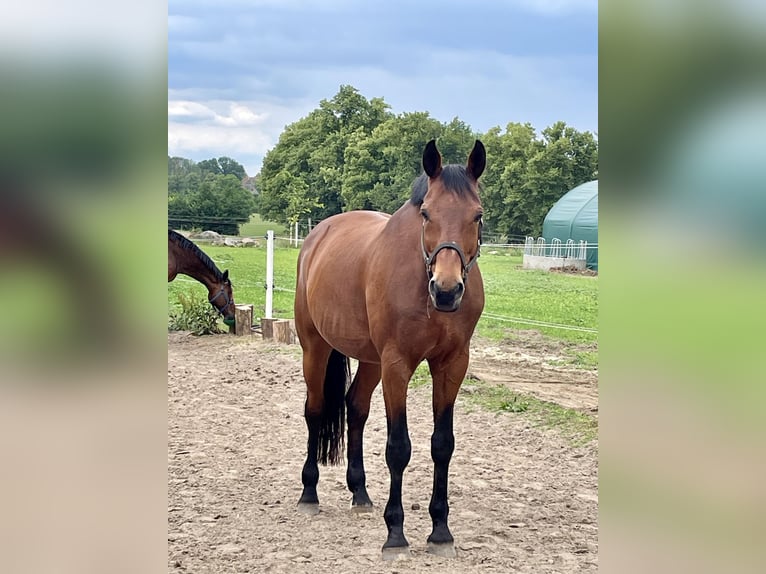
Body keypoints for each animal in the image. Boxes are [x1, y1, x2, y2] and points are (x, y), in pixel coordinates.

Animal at [294, 141, 486, 564]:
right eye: (426, 213)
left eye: (477, 215)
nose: (446, 290)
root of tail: (317, 236)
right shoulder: (397, 365)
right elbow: (399, 448)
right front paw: (396, 533)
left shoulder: (452, 365)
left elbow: (442, 445)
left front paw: (440, 530)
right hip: (315, 347)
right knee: (315, 411)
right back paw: (309, 492)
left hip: (370, 360)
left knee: (355, 408)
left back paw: (360, 492)